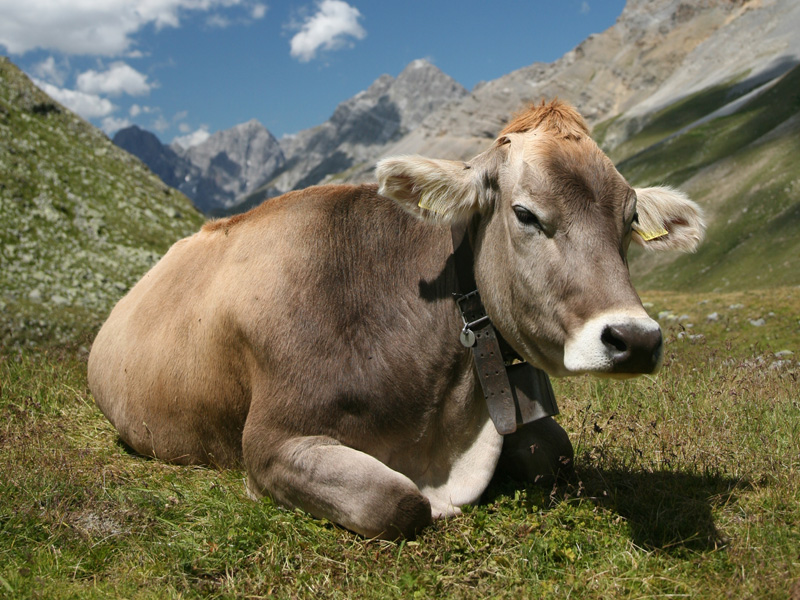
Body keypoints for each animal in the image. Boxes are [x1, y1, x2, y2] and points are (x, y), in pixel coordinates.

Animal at [86, 98, 700, 540]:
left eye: (629, 221)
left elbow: (557, 453)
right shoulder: (271, 442)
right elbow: (398, 502)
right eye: (525, 213)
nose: (635, 339)